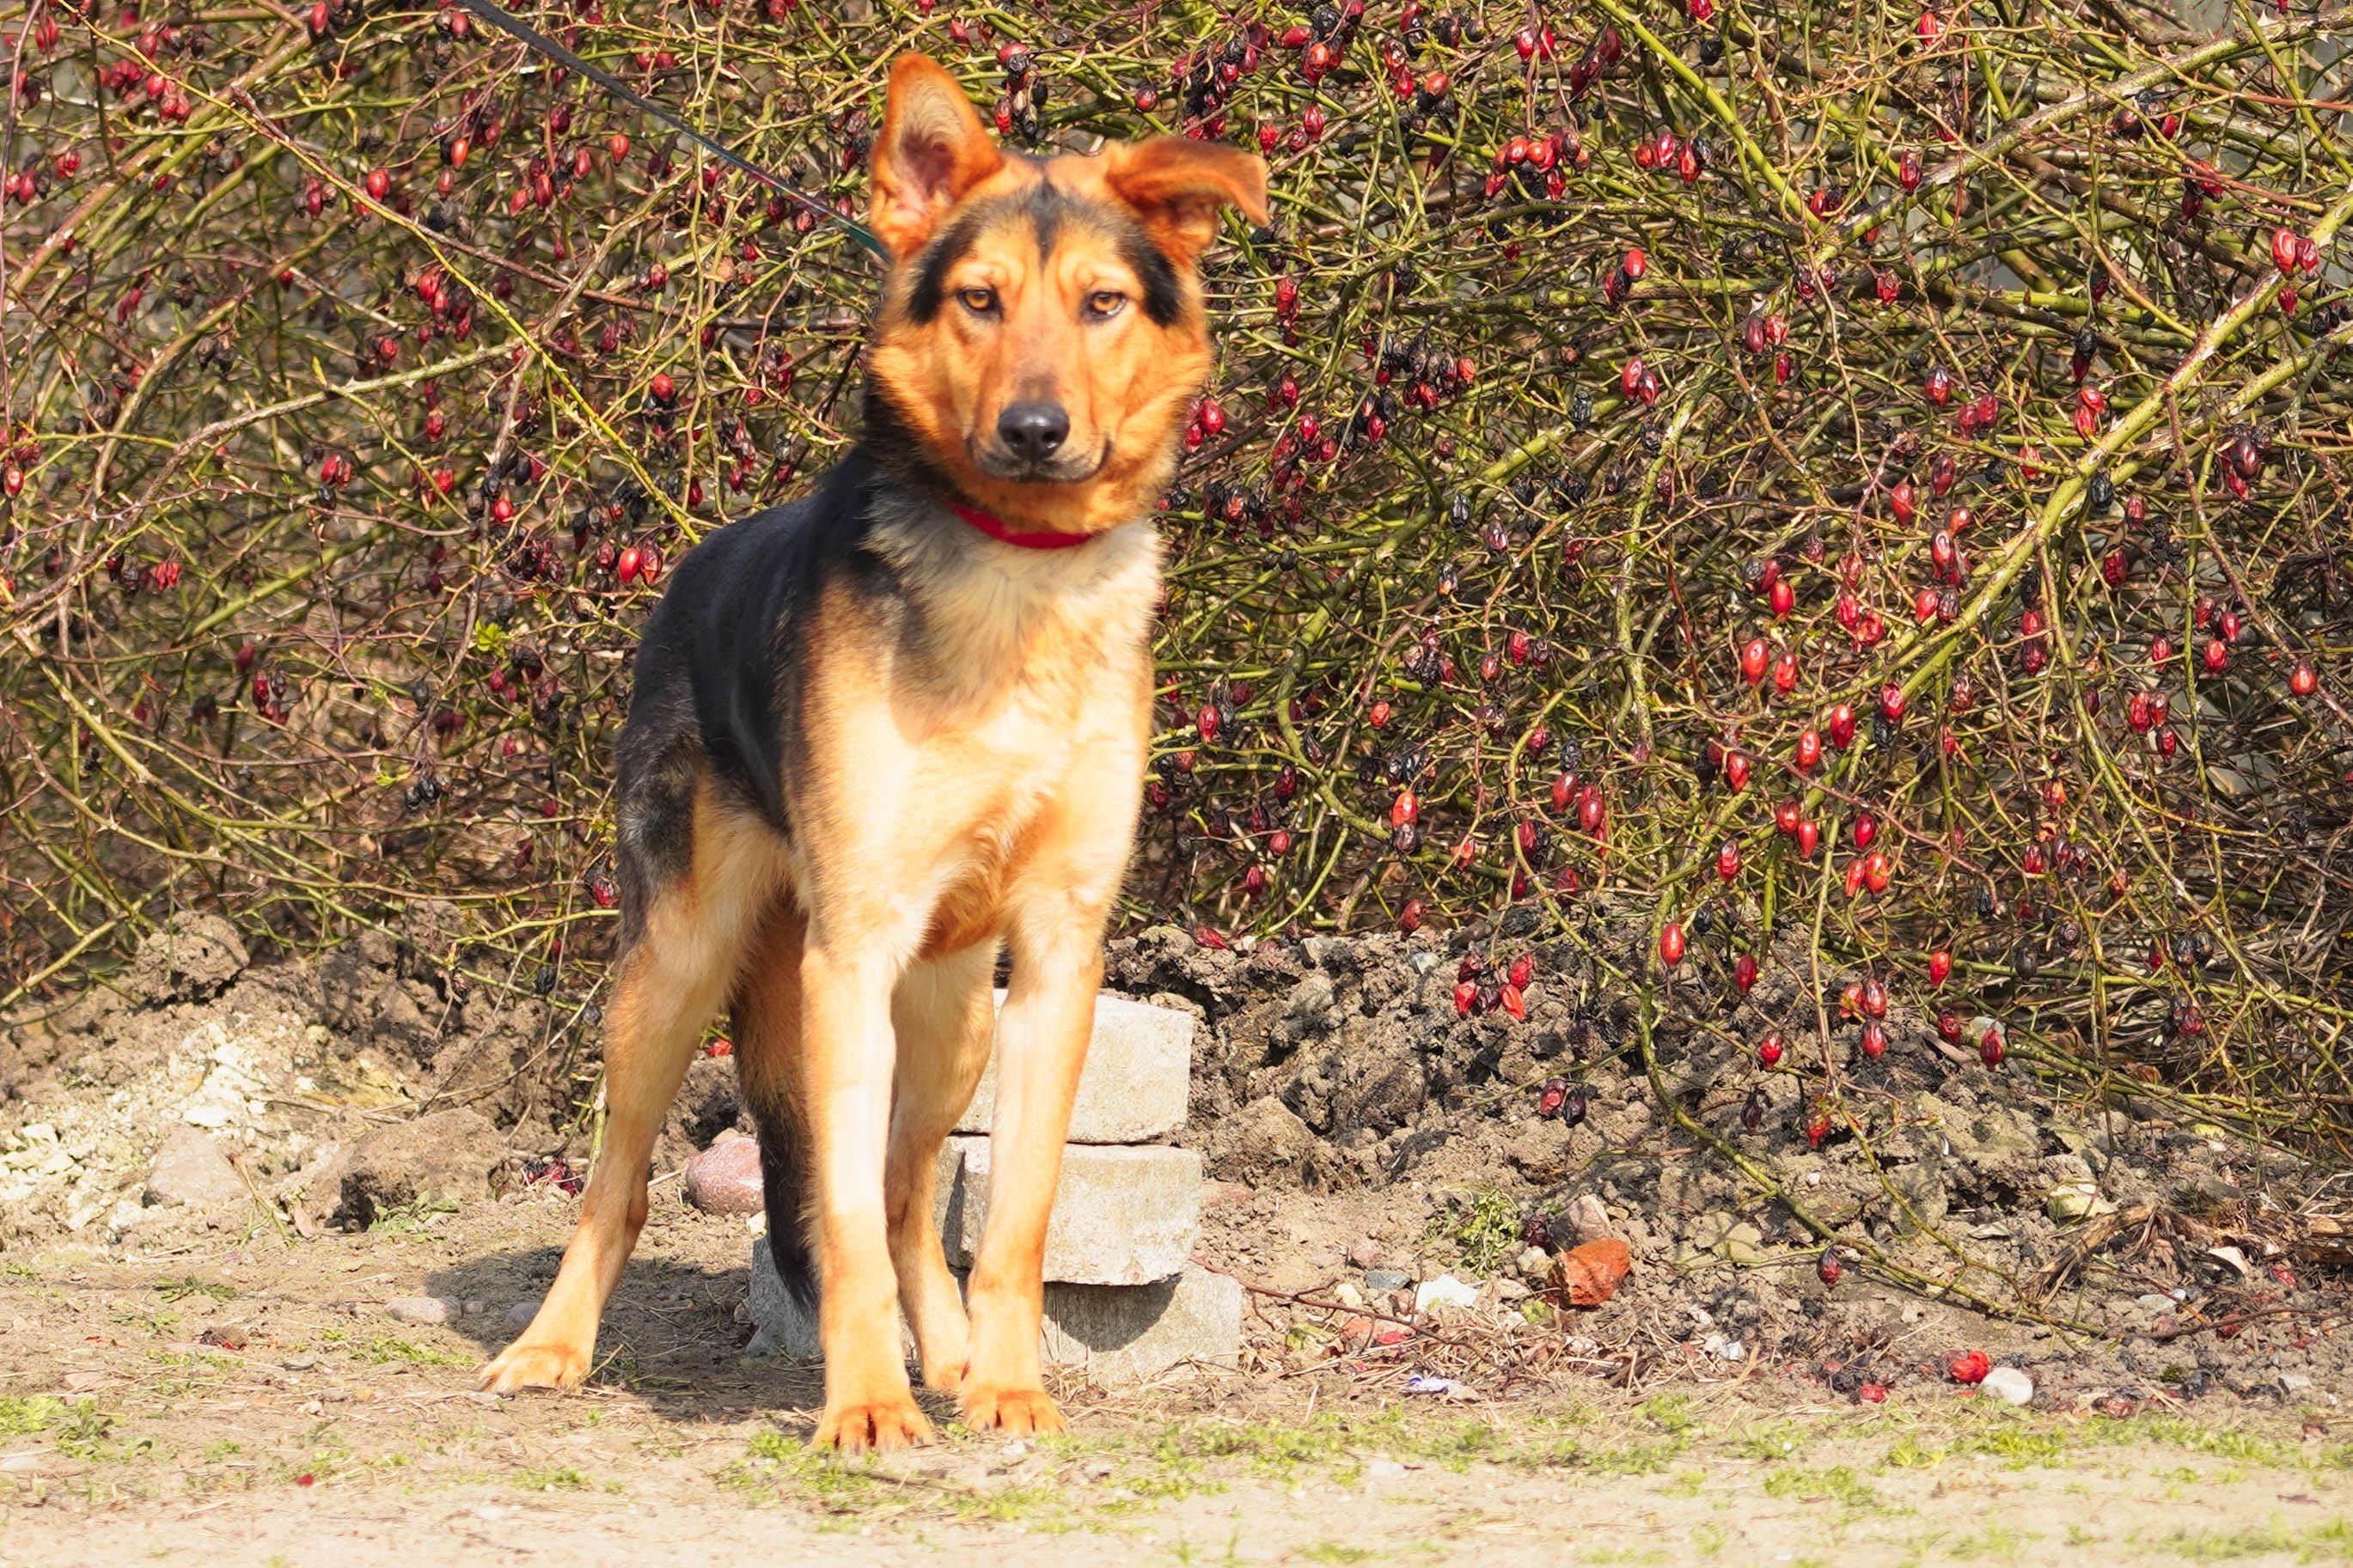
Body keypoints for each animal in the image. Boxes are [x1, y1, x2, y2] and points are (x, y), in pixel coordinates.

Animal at [475, 55, 1270, 1457]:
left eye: (1103, 304)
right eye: (979, 299)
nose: (1034, 428)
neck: (1017, 572)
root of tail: (688, 573)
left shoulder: (1057, 951)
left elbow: (1010, 1216)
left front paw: (1006, 1387)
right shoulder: (848, 954)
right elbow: (835, 1216)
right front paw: (862, 1406)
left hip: (954, 1015)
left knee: (910, 1200)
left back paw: (948, 1359)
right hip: (678, 970)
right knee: (621, 1185)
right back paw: (554, 1347)